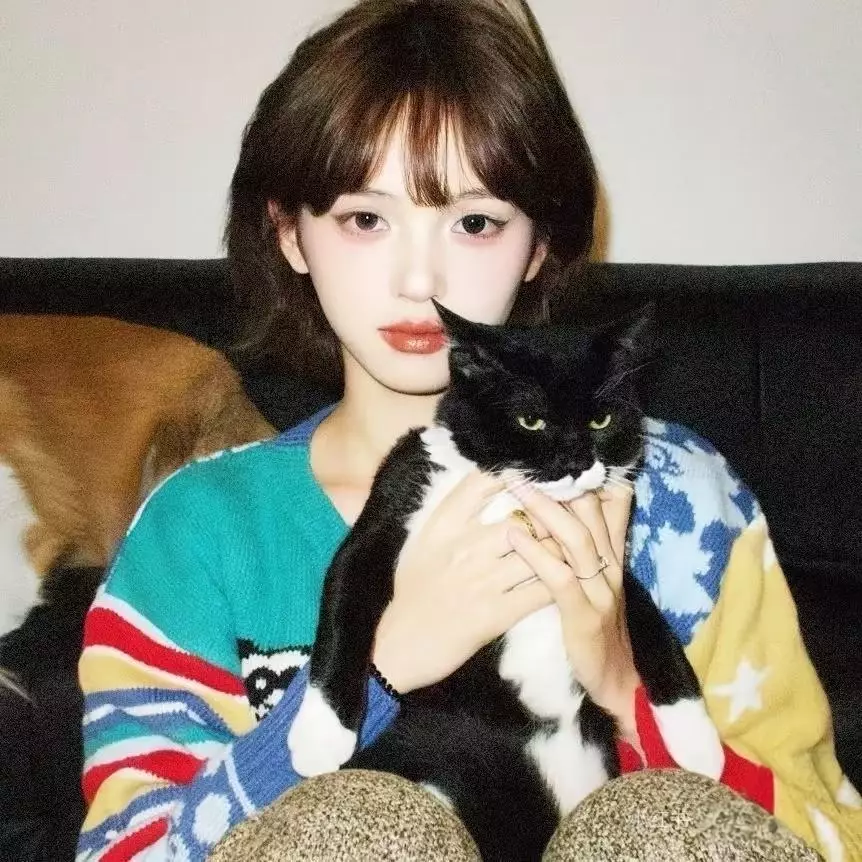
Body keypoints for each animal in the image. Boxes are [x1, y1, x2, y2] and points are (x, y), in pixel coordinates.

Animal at [288, 300, 724, 861]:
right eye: (530, 420)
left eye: (600, 418)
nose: (576, 462)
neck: (512, 499)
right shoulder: (395, 500)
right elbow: (346, 603)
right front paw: (320, 735)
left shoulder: (609, 567)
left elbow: (652, 628)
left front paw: (697, 738)